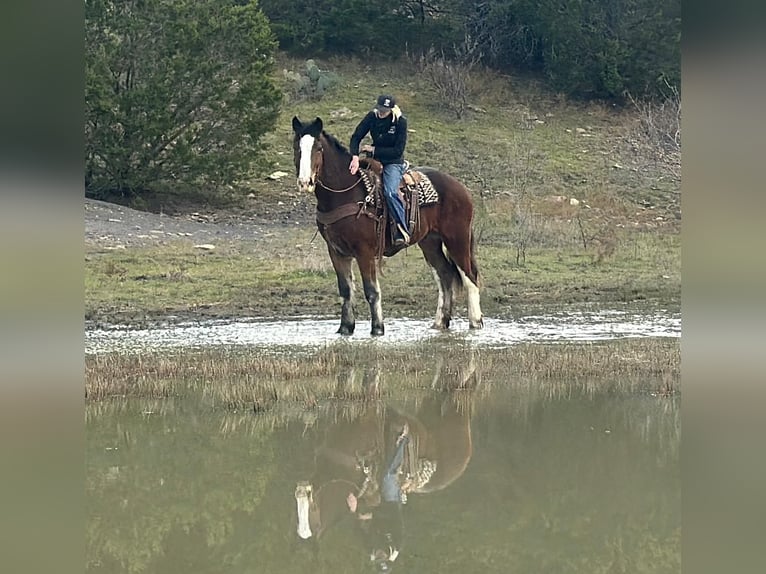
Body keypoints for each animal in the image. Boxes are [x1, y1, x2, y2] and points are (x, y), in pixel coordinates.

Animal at [292, 116, 483, 336]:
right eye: (297, 147)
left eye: (319, 148)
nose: (305, 182)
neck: (344, 194)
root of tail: (461, 188)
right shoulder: (336, 252)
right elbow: (345, 291)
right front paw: (345, 328)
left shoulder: (364, 251)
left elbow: (372, 291)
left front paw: (377, 329)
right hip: (430, 243)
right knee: (445, 276)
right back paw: (439, 323)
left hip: (457, 239)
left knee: (470, 277)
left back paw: (475, 322)